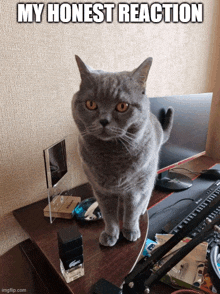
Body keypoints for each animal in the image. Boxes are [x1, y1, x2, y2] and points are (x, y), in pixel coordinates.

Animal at [72, 56, 174, 247]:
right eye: (91, 104)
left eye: (122, 106)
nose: (104, 121)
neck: (112, 158)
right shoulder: (101, 191)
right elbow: (109, 216)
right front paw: (110, 235)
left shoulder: (135, 190)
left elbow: (131, 213)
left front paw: (130, 231)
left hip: (149, 173)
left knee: (148, 192)